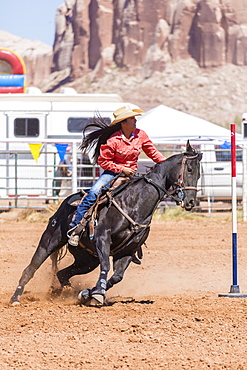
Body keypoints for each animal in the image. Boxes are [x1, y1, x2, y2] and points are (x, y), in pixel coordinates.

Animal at [10, 140, 203, 304]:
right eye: (189, 169)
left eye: (199, 174)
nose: (190, 202)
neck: (135, 203)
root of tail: (66, 202)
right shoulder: (102, 239)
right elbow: (106, 266)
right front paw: (96, 294)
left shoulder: (127, 250)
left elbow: (117, 277)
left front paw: (89, 293)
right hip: (50, 240)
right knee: (31, 268)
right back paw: (15, 298)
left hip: (86, 260)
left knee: (62, 274)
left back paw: (62, 293)